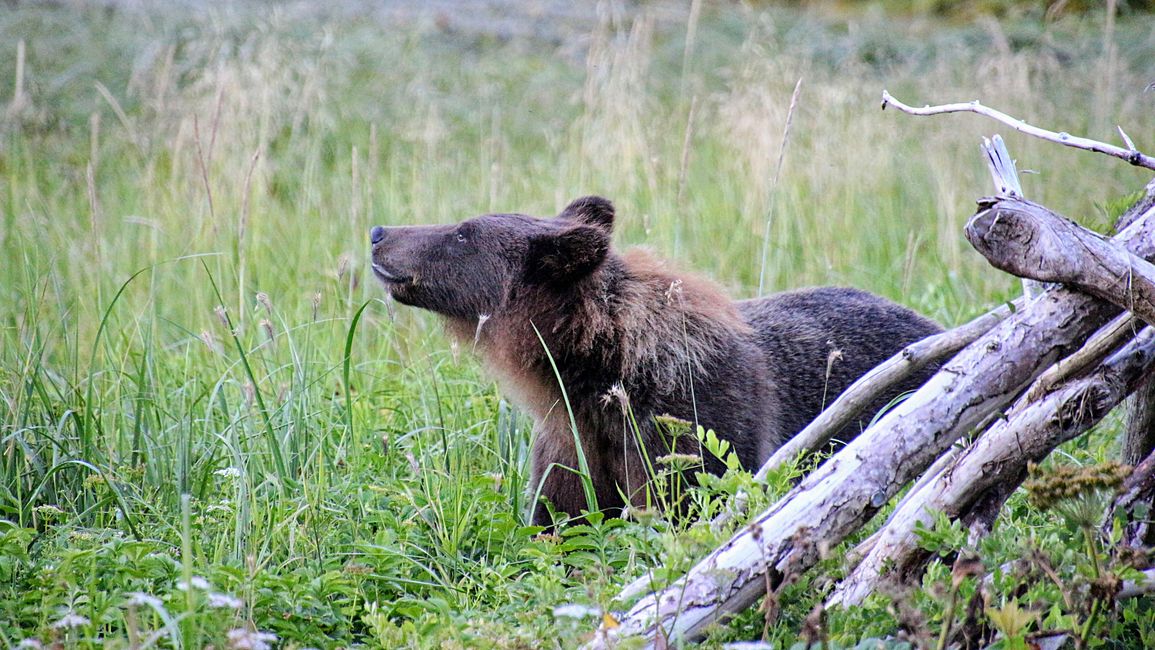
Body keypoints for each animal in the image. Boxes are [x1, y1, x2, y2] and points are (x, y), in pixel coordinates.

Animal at [367, 196, 937, 526]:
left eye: (464, 232)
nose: (379, 233)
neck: (595, 370)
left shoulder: (684, 423)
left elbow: (682, 502)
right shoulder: (572, 437)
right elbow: (561, 519)